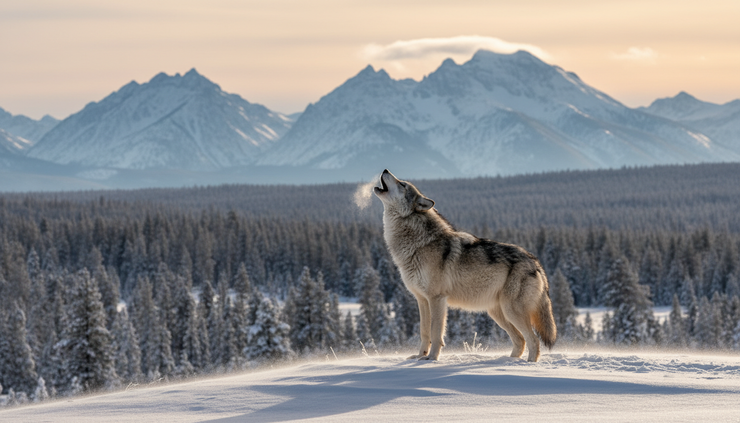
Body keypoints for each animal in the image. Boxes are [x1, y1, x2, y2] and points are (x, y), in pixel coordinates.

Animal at [373, 169, 556, 362]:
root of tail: (536, 263)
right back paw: (507, 362)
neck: (420, 243)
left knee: (533, 340)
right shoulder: (422, 300)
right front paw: (419, 357)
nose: (385, 170)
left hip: (511, 311)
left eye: (402, 184)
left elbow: (436, 333)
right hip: (498, 313)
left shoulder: (437, 299)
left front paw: (431, 359)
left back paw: (525, 365)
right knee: (520, 340)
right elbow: (424, 332)